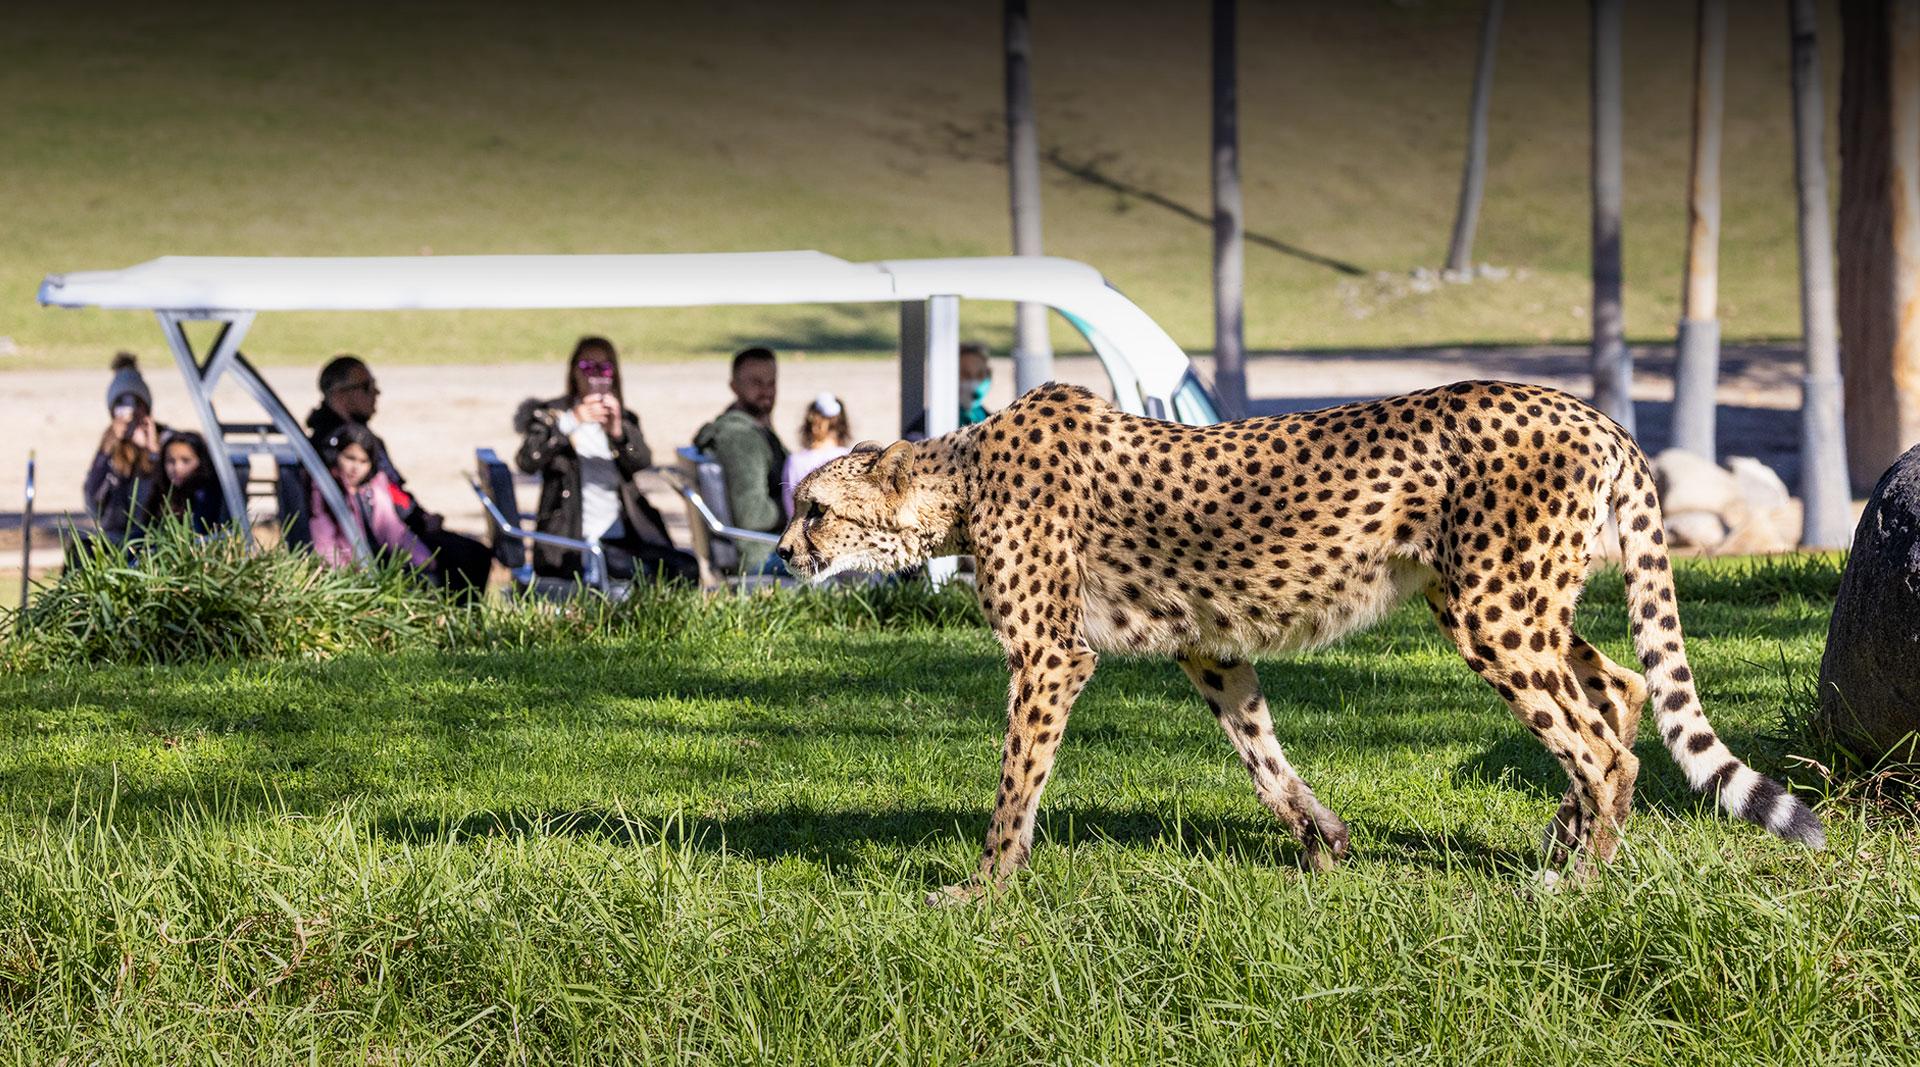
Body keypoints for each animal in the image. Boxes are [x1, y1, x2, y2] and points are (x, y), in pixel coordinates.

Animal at [771, 381, 1820, 901]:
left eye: (814, 507)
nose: (782, 552)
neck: (959, 475)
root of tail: (1589, 409)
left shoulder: (1050, 656)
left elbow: (1014, 785)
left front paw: (982, 891)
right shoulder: (1209, 646)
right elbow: (1261, 753)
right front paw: (1323, 846)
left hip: (1491, 608)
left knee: (1602, 744)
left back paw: (1579, 882)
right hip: (1507, 601)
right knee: (1622, 691)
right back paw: (1566, 836)